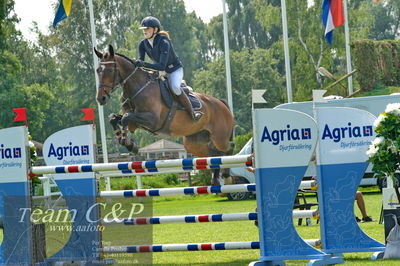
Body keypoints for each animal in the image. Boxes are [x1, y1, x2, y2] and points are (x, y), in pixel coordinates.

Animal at [94, 44, 234, 185]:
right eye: (97, 70)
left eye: (109, 71)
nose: (101, 98)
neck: (137, 87)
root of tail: (222, 103)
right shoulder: (137, 119)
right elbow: (114, 118)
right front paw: (127, 141)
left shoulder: (153, 120)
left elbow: (126, 119)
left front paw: (128, 142)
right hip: (194, 143)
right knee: (213, 154)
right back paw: (215, 179)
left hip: (219, 138)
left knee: (228, 148)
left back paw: (226, 175)